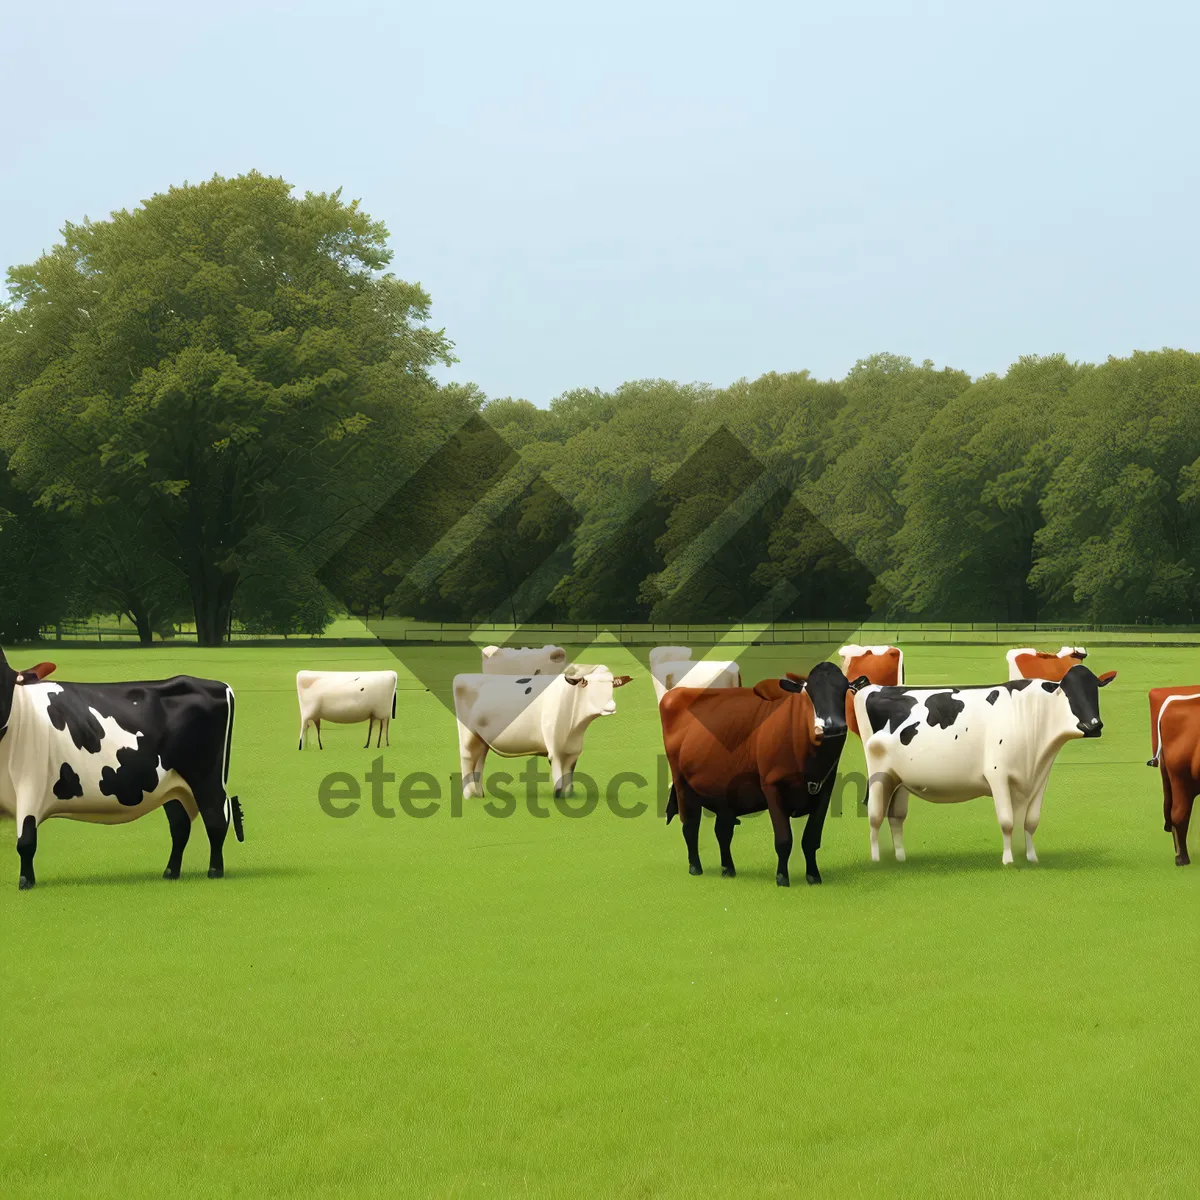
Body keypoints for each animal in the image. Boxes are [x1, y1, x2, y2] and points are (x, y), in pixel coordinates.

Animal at [0, 648, 243, 892]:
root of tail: (215, 685)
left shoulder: (31, 786)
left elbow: (26, 841)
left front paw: (25, 882)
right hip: (173, 785)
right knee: (180, 824)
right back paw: (170, 872)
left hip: (206, 779)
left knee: (216, 818)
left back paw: (215, 871)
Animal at [453, 667, 633, 796]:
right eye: (586, 683)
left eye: (611, 684)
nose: (611, 706)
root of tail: (463, 676)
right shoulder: (556, 751)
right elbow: (559, 780)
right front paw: (559, 797)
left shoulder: (571, 751)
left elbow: (568, 779)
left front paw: (568, 796)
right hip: (469, 735)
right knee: (467, 758)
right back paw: (469, 795)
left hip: (481, 739)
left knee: (478, 760)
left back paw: (478, 794)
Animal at [662, 662, 868, 888]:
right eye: (809, 693)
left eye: (843, 690)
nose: (833, 727)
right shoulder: (772, 786)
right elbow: (784, 839)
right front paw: (782, 877)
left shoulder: (825, 789)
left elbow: (811, 839)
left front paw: (814, 876)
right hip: (682, 784)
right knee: (690, 826)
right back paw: (695, 867)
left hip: (725, 791)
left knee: (723, 831)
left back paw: (728, 869)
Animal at [854, 667, 1113, 864]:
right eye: (1069, 691)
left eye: (1095, 689)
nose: (1093, 725)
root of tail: (870, 686)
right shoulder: (998, 774)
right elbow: (1007, 821)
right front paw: (1008, 860)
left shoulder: (1038, 778)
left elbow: (1030, 822)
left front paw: (1031, 857)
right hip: (879, 773)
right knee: (875, 815)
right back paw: (876, 860)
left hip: (898, 780)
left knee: (895, 817)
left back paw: (900, 857)